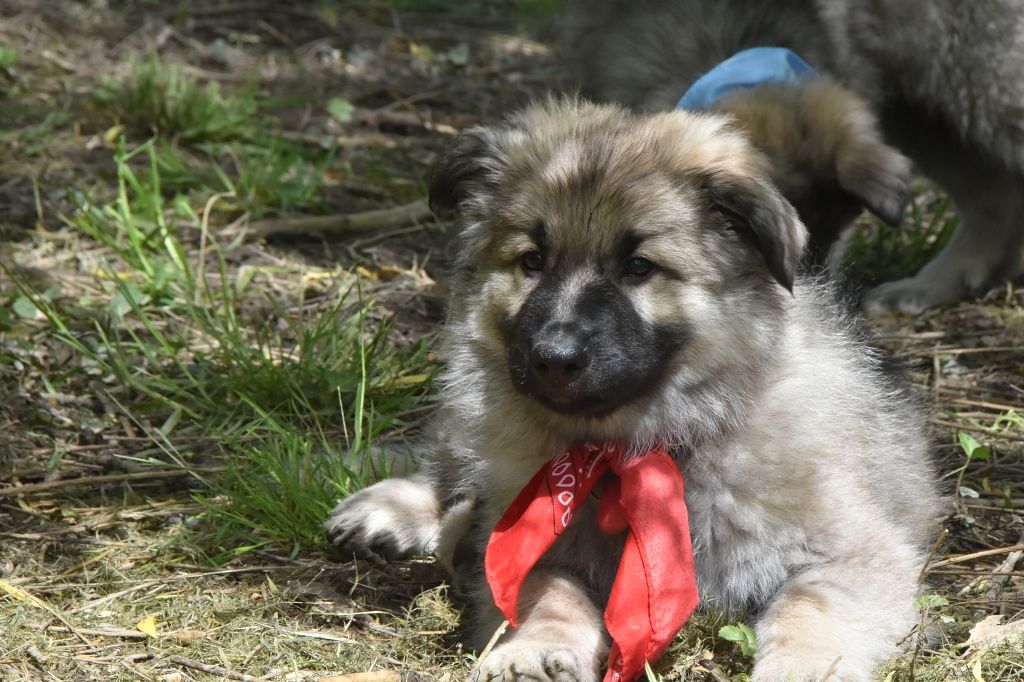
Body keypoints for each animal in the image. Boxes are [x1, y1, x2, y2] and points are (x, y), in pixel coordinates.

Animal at [324, 99, 941, 681]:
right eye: (532, 261)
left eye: (639, 267)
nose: (554, 359)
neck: (634, 449)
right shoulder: (533, 544)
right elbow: (551, 592)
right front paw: (536, 649)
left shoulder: (852, 557)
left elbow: (808, 608)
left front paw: (806, 665)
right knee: (446, 470)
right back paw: (387, 510)